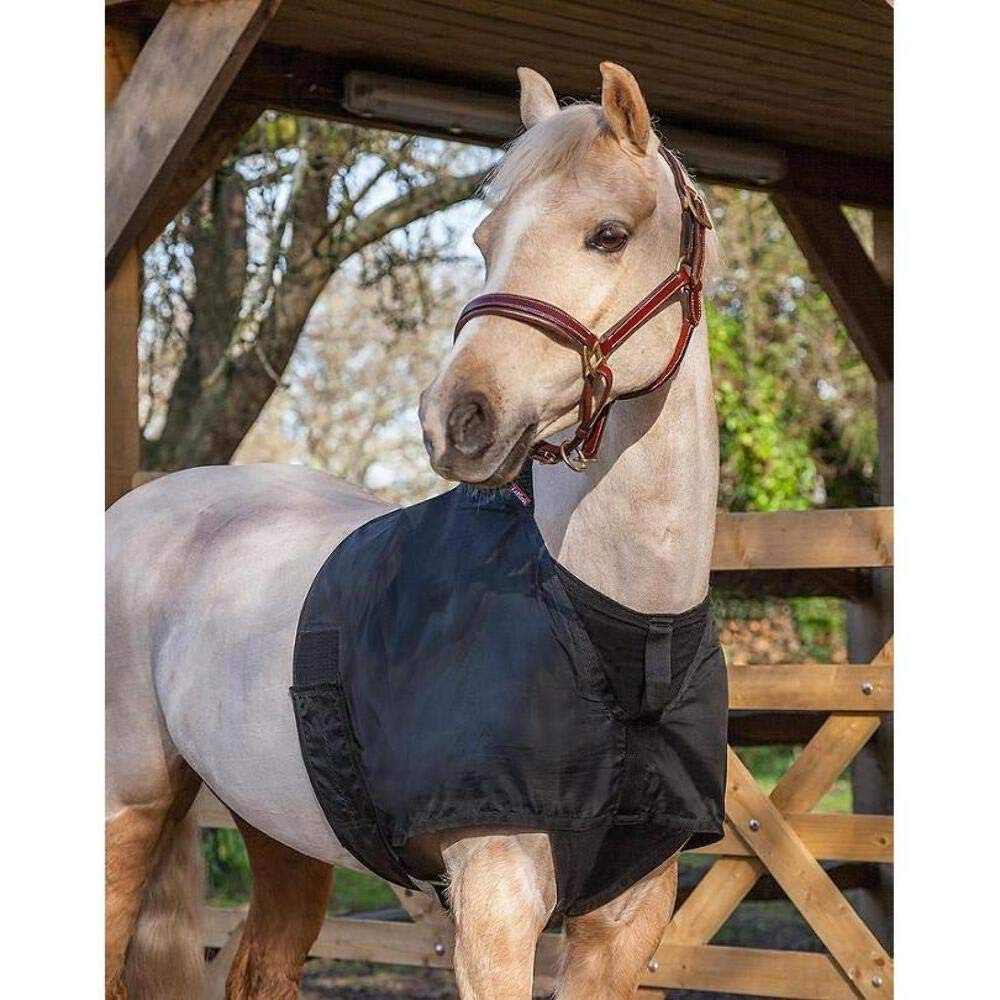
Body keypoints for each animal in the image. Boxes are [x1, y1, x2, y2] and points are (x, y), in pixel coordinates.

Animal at [105, 61, 720, 999]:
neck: (614, 628)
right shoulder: (496, 912)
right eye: (484, 238)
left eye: (609, 235)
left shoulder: (627, 917)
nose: (457, 417)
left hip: (279, 832)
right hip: (122, 812)